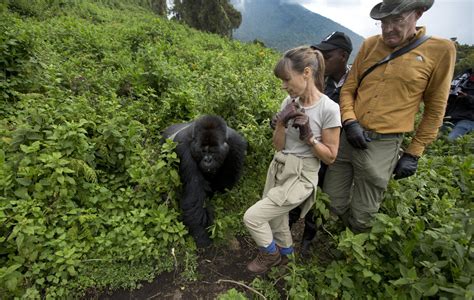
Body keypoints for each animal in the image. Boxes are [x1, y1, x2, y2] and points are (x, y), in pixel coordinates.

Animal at [162, 113, 246, 247]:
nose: (207, 160)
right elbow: (195, 196)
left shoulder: (236, 145)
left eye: (213, 151)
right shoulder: (183, 148)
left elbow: (226, 183)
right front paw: (202, 235)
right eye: (203, 151)